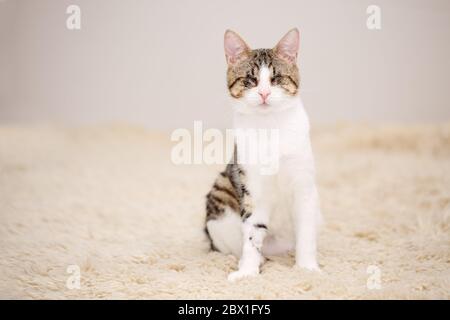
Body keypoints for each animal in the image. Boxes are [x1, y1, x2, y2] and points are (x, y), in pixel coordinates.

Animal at [204, 28, 320, 282]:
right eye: (250, 80)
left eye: (276, 79)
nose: (265, 93)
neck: (270, 127)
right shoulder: (252, 188)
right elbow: (251, 235)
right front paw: (247, 272)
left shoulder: (303, 185)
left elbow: (307, 231)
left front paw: (307, 268)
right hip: (220, 204)